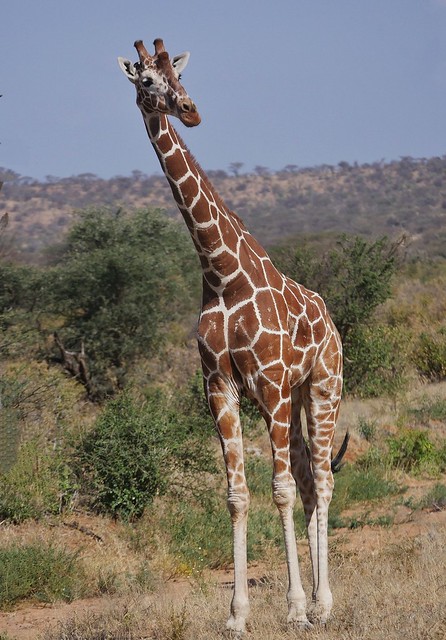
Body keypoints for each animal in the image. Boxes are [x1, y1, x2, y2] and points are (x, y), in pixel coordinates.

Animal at [117, 40, 344, 636]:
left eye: (178, 76)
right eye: (147, 80)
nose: (190, 109)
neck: (220, 271)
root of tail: (333, 322)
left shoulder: (268, 383)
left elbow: (280, 491)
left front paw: (293, 608)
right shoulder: (219, 386)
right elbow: (238, 496)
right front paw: (238, 615)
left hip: (321, 387)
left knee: (321, 481)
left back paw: (324, 603)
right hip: (293, 398)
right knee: (309, 481)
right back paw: (316, 599)